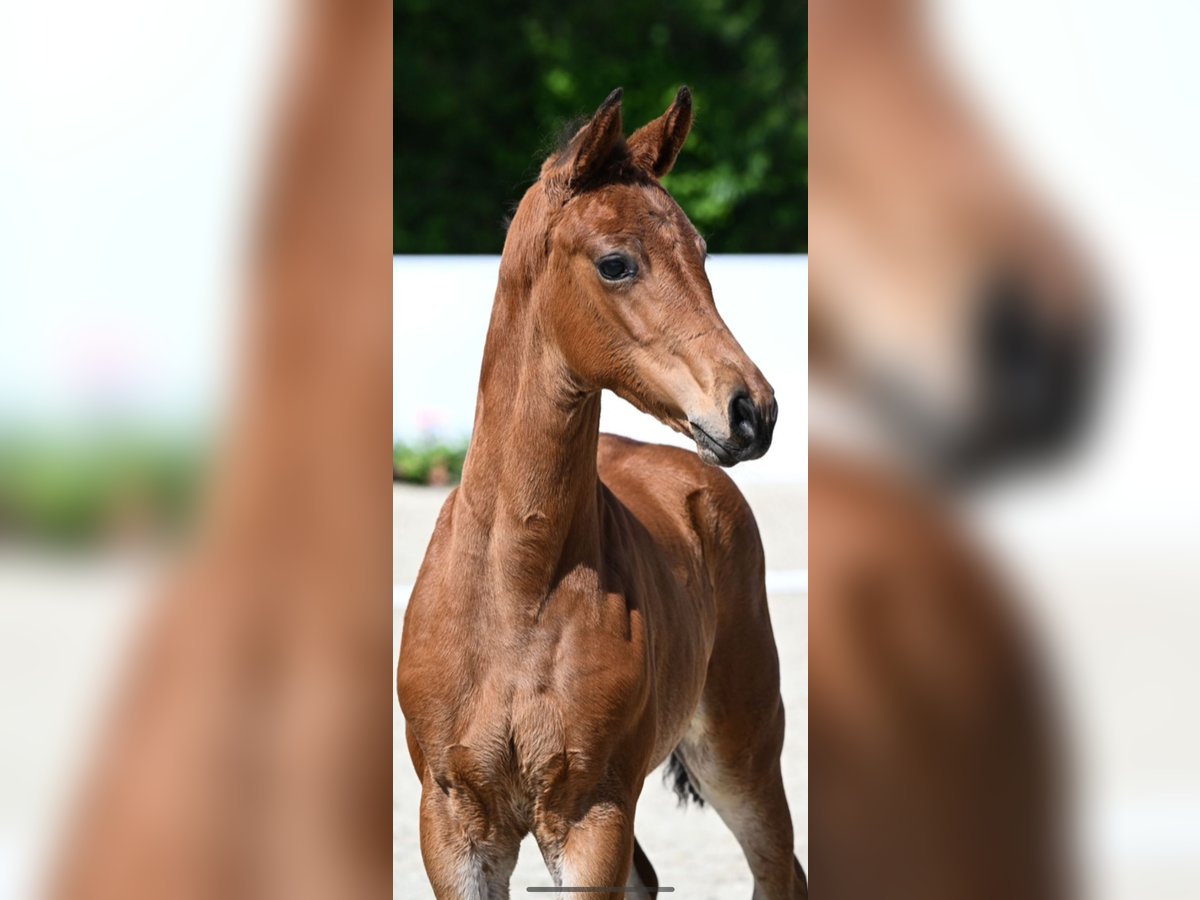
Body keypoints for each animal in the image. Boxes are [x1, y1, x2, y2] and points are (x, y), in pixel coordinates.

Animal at [400, 86, 806, 900]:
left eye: (703, 254)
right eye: (616, 263)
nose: (753, 410)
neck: (516, 588)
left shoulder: (592, 812)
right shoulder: (452, 820)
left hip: (741, 749)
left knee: (780, 866)